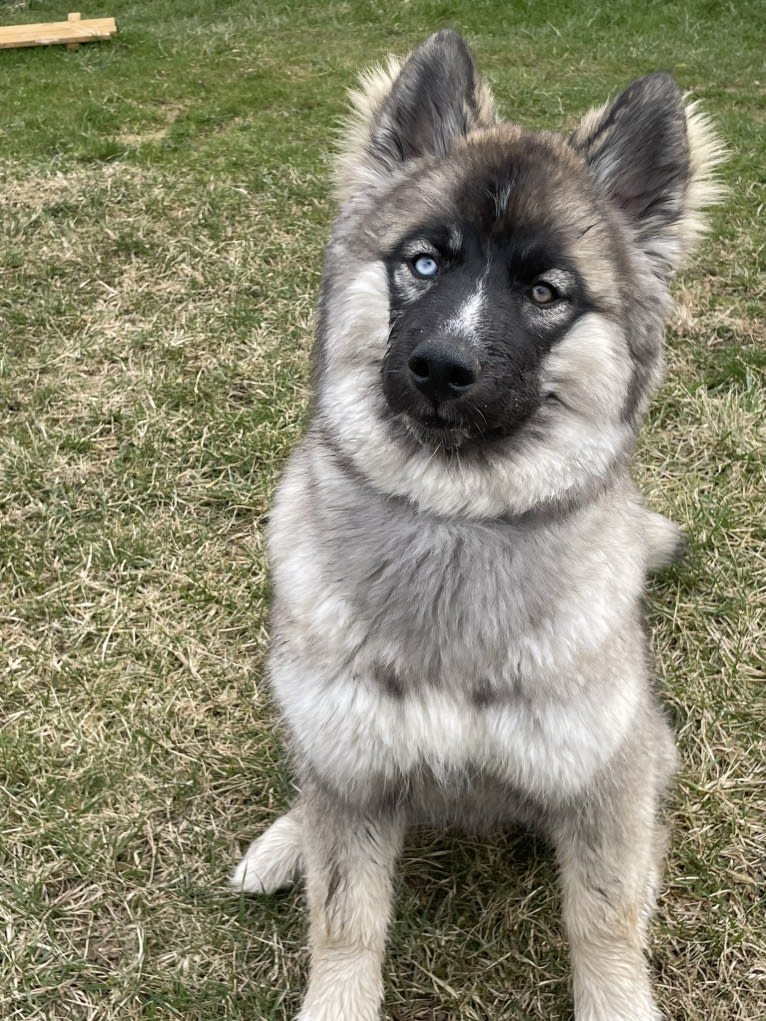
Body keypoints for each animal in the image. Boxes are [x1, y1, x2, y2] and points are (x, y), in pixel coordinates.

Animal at [230, 29, 723, 1021]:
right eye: (424, 262)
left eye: (545, 292)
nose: (439, 366)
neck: (454, 519)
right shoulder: (353, 771)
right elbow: (344, 922)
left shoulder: (603, 777)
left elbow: (605, 923)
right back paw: (282, 839)